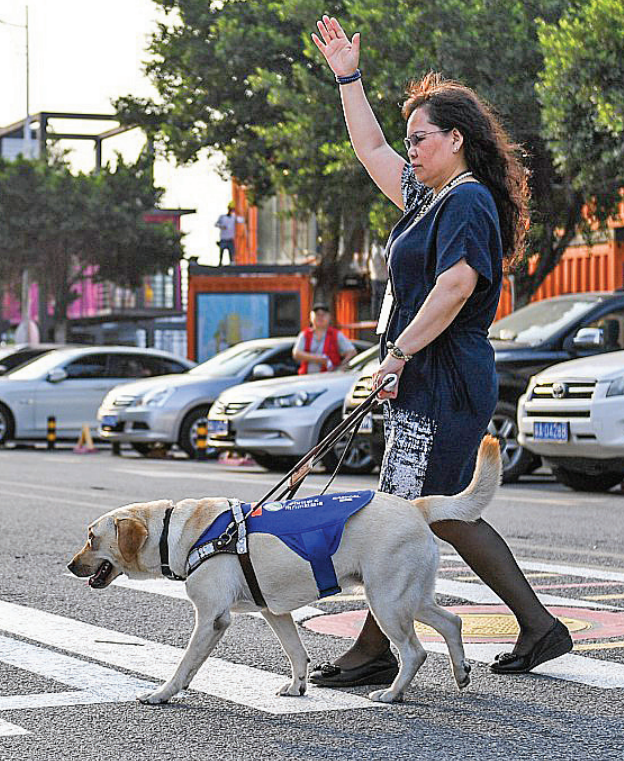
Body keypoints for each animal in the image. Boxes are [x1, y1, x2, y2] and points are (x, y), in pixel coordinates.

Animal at [68, 434, 502, 700]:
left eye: (91, 537)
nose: (69, 565)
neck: (177, 531)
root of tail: (416, 506)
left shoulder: (212, 618)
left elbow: (185, 664)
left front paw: (162, 694)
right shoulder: (273, 611)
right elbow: (296, 652)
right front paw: (297, 687)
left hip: (387, 601)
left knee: (415, 652)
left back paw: (393, 694)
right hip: (409, 596)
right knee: (453, 621)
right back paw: (461, 671)